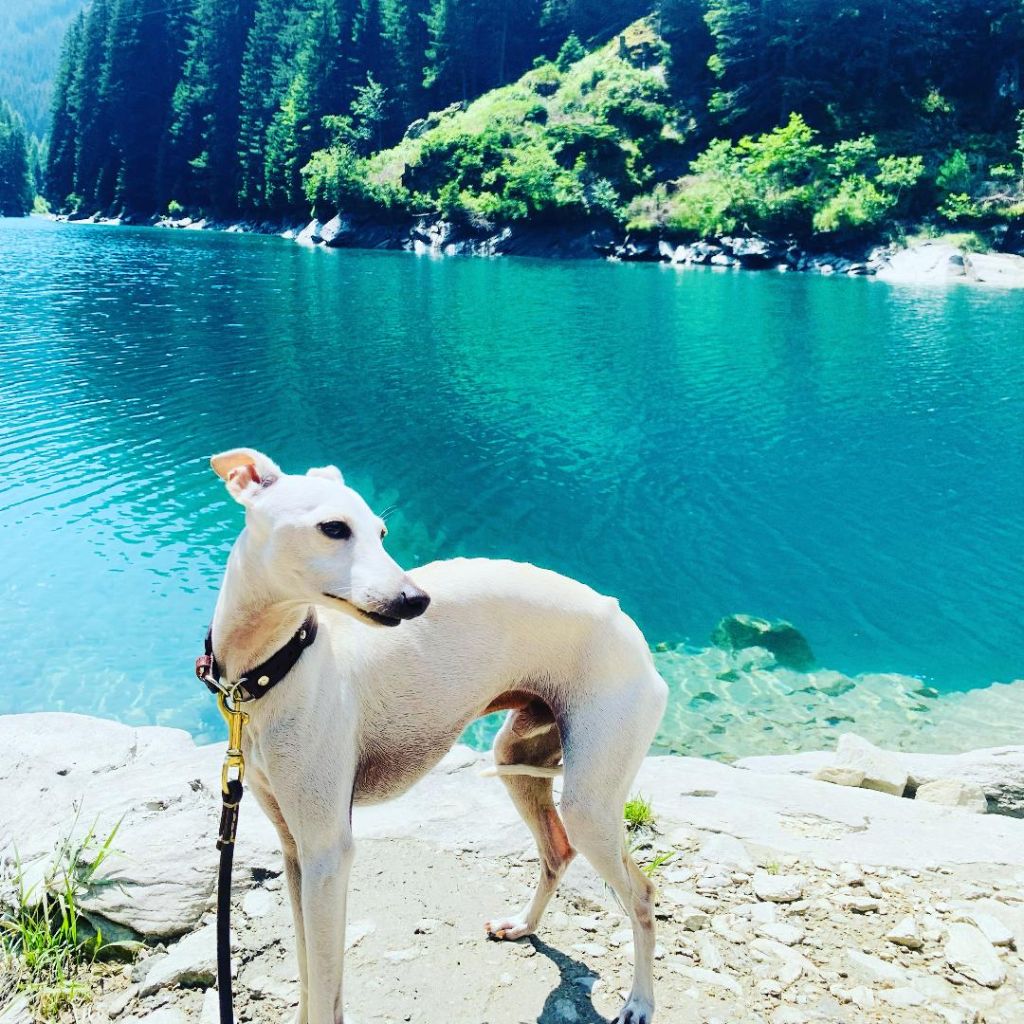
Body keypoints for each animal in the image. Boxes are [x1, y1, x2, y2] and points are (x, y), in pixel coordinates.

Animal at [208, 448, 671, 1024]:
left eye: (382, 532)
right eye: (333, 528)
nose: (416, 600)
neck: (272, 669)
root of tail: (630, 629)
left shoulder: (327, 852)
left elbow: (326, 982)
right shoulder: (295, 849)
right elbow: (308, 970)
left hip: (591, 800)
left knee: (642, 894)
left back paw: (639, 1002)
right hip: (519, 760)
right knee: (557, 852)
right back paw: (522, 926)